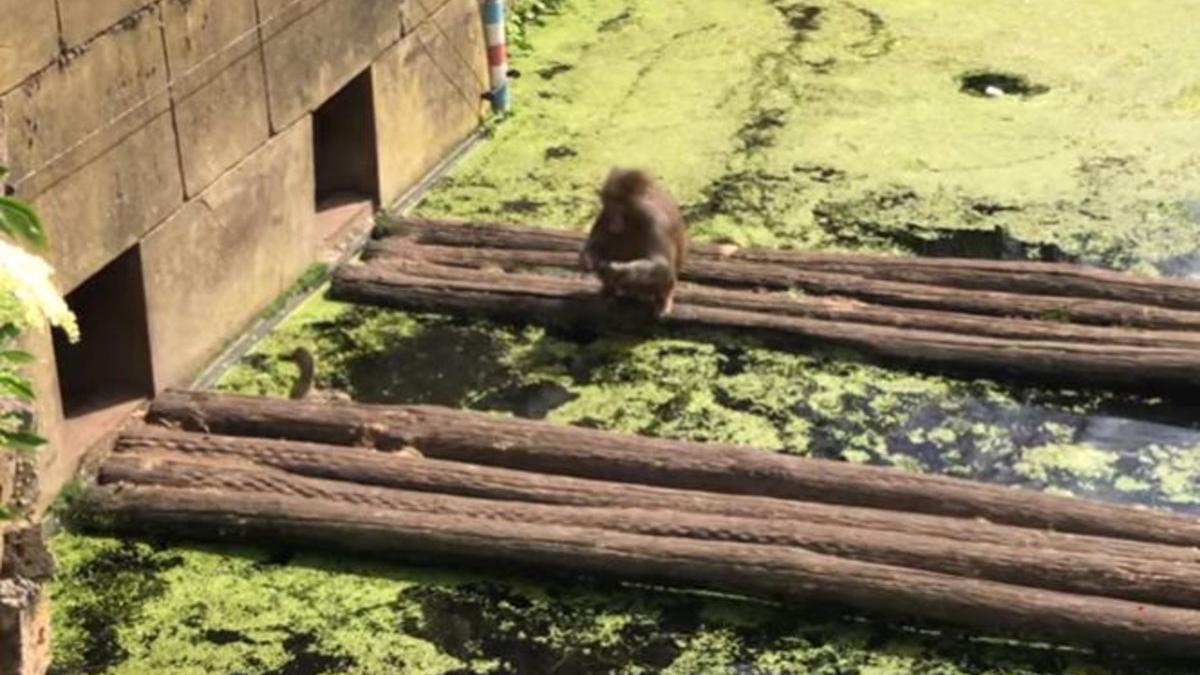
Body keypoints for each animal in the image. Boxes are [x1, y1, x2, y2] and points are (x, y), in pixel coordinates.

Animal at [578, 168, 686, 314]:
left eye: (619, 207)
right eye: (610, 206)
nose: (614, 221)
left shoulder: (654, 220)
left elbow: (663, 266)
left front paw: (618, 270)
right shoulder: (604, 215)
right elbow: (596, 244)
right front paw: (589, 258)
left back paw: (663, 300)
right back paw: (608, 292)